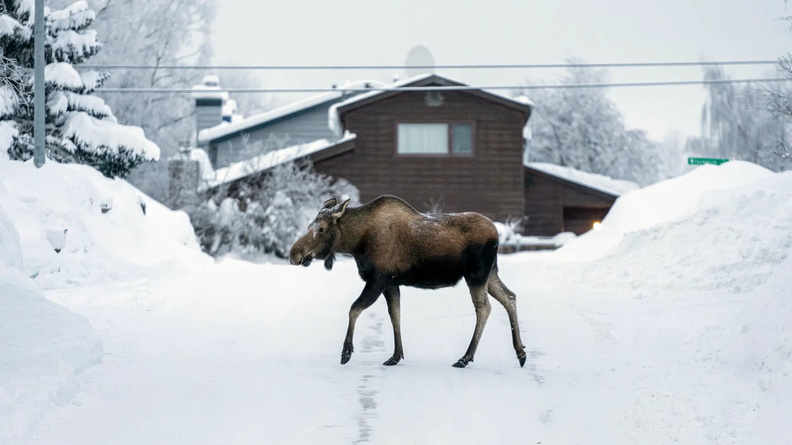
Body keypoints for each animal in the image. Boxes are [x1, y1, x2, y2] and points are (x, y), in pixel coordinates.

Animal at [289, 195, 527, 368]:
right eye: (309, 225)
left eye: (321, 229)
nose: (294, 254)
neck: (356, 243)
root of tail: (496, 233)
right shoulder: (391, 283)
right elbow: (395, 315)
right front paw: (395, 355)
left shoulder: (378, 280)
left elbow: (354, 309)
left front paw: (346, 352)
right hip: (490, 273)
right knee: (510, 296)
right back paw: (520, 352)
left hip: (476, 274)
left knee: (484, 307)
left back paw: (465, 357)